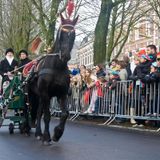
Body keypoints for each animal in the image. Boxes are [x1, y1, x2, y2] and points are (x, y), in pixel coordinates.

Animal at [28, 13, 78, 144]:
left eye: (73, 34)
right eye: (62, 33)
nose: (65, 55)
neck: (57, 67)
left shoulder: (62, 94)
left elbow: (65, 113)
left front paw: (57, 133)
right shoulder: (45, 93)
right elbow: (47, 116)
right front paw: (47, 136)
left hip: (40, 95)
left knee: (38, 112)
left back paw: (38, 133)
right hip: (32, 94)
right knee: (31, 109)